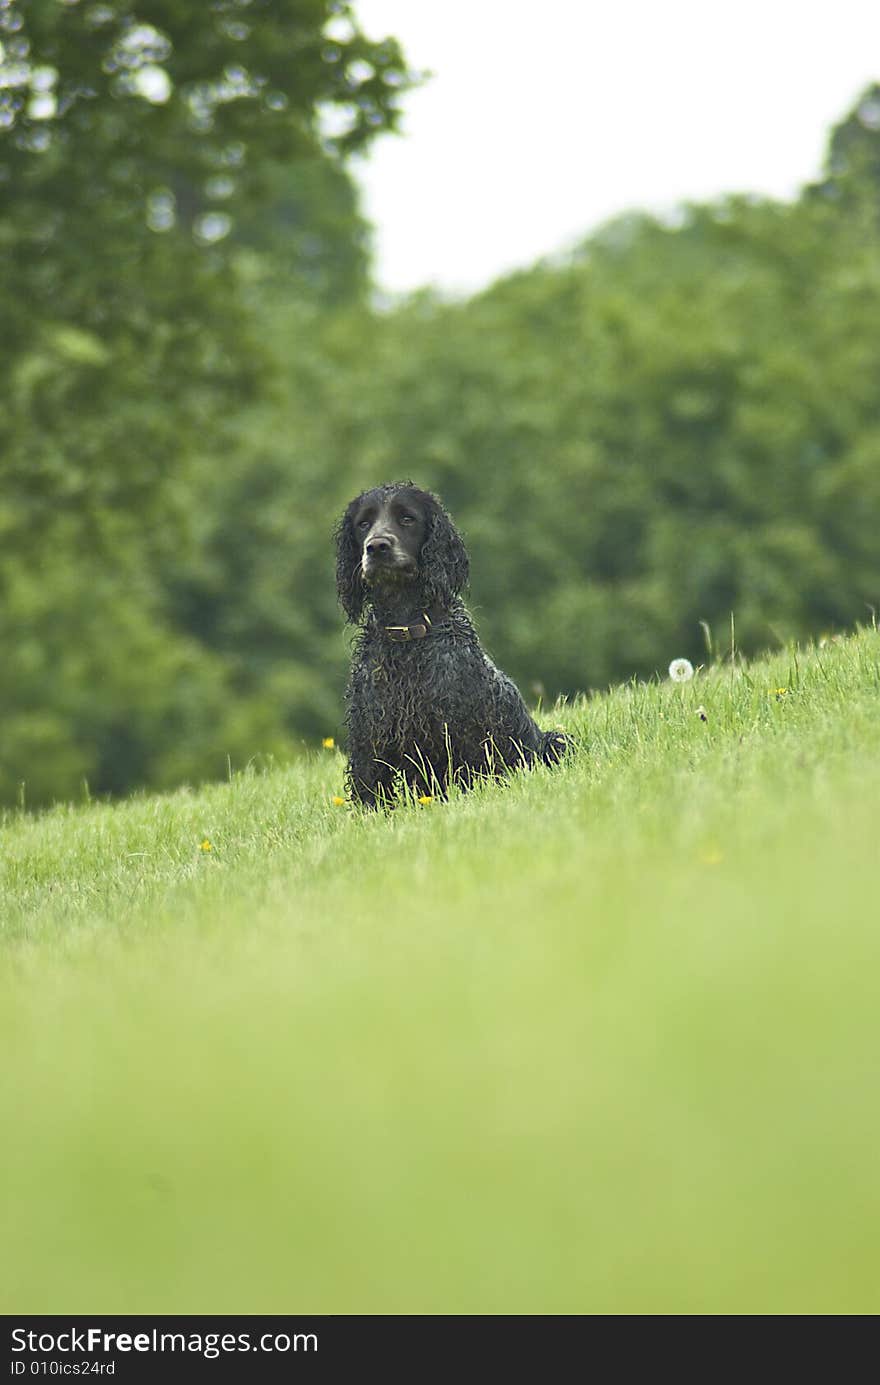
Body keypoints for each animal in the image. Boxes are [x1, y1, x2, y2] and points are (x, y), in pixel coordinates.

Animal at [333, 484, 568, 803]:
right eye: (363, 523)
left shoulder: (465, 734)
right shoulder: (368, 741)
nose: (377, 547)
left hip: (554, 742)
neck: (407, 634)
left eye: (407, 519)